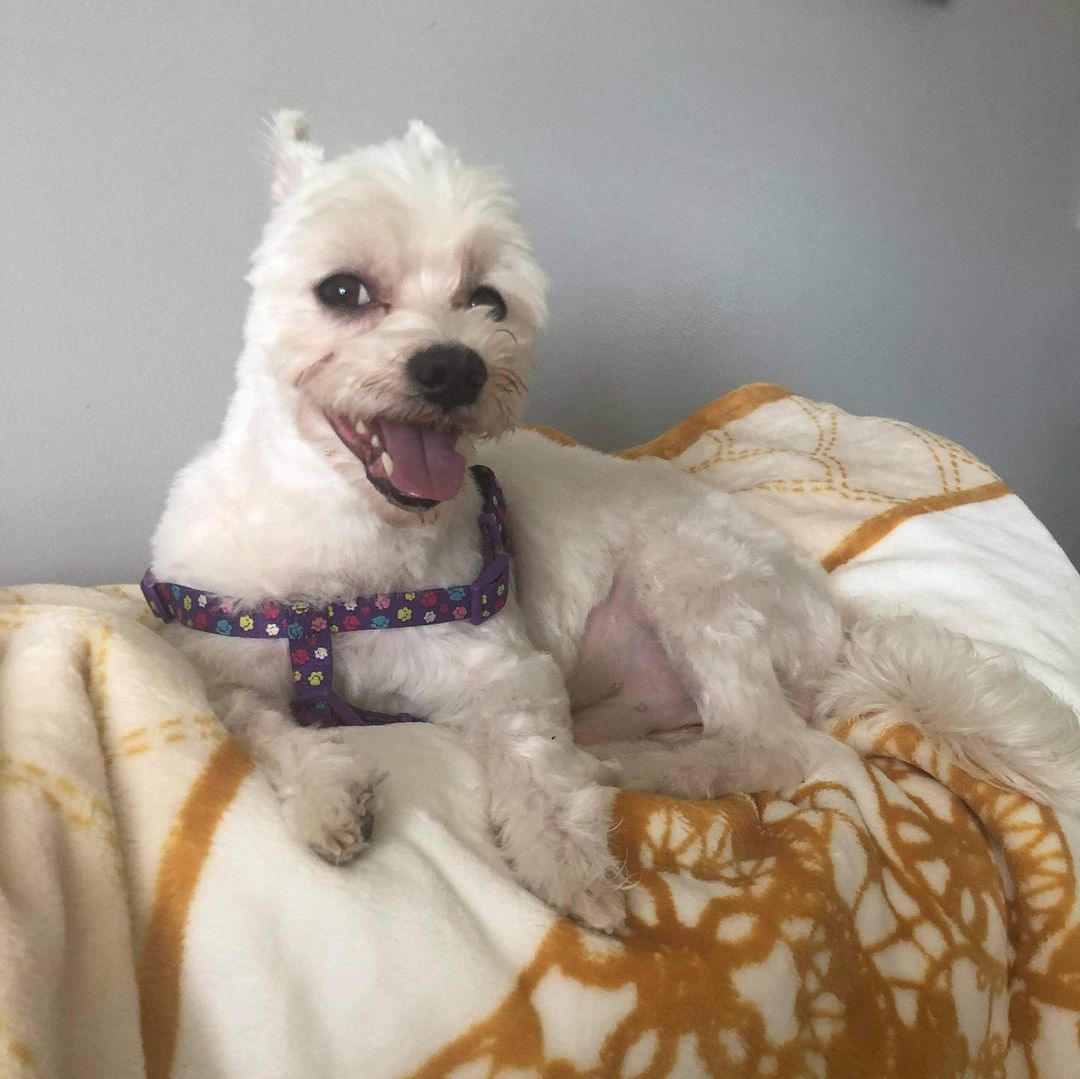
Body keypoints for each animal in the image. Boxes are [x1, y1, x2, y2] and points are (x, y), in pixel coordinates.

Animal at [149, 114, 1080, 932]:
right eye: (341, 290)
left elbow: (530, 762)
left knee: (773, 746)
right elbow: (255, 723)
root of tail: (836, 623)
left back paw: (633, 767)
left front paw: (568, 864)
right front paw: (325, 794)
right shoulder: (219, 659)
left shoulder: (507, 669)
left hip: (698, 585)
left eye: (487, 300)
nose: (457, 366)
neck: (349, 566)